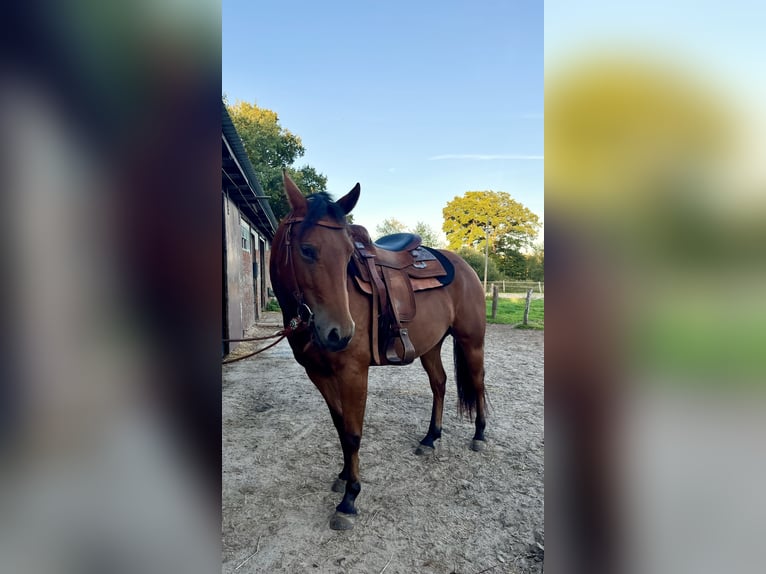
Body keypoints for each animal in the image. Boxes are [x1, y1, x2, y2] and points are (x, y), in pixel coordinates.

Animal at [269, 172, 487, 530]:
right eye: (307, 250)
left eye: (348, 256)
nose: (340, 333)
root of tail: (464, 265)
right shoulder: (318, 374)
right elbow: (340, 427)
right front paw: (344, 476)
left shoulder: (353, 373)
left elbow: (353, 433)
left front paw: (350, 499)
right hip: (430, 346)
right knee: (439, 383)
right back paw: (430, 438)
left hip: (472, 342)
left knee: (479, 383)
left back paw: (480, 435)